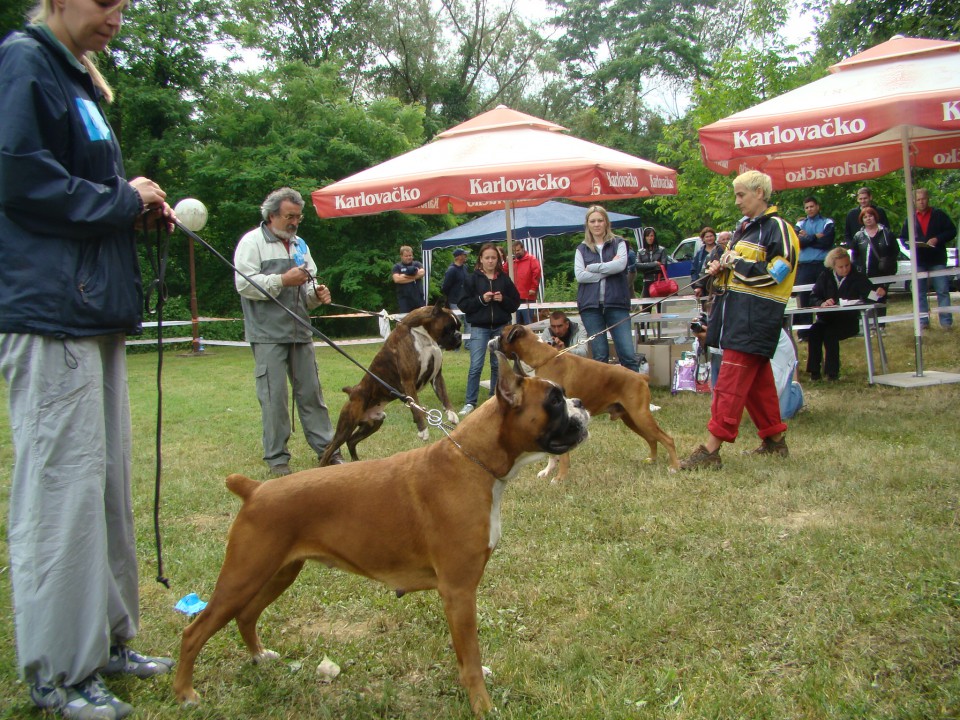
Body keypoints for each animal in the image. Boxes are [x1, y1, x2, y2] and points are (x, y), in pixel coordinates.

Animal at [174, 352, 592, 716]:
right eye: (554, 400)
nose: (580, 402)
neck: (473, 462)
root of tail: (255, 489)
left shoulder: (458, 594)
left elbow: (465, 654)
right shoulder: (458, 591)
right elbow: (471, 657)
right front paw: (482, 705)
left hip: (277, 573)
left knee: (246, 616)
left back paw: (260, 656)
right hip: (242, 577)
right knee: (195, 632)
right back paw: (186, 694)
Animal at [318, 298, 462, 466]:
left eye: (458, 327)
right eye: (449, 328)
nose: (459, 336)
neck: (422, 335)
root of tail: (352, 391)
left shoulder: (437, 376)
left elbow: (444, 395)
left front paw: (451, 414)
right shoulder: (408, 380)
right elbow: (416, 407)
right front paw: (423, 430)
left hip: (373, 423)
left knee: (351, 441)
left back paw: (356, 462)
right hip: (347, 425)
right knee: (329, 448)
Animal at [492, 324, 680, 480]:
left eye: (501, 335)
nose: (491, 341)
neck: (543, 358)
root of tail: (641, 377)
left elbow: (563, 456)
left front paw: (560, 479)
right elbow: (552, 454)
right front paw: (547, 471)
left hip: (640, 416)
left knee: (667, 439)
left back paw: (674, 467)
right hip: (632, 419)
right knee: (652, 439)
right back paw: (652, 460)